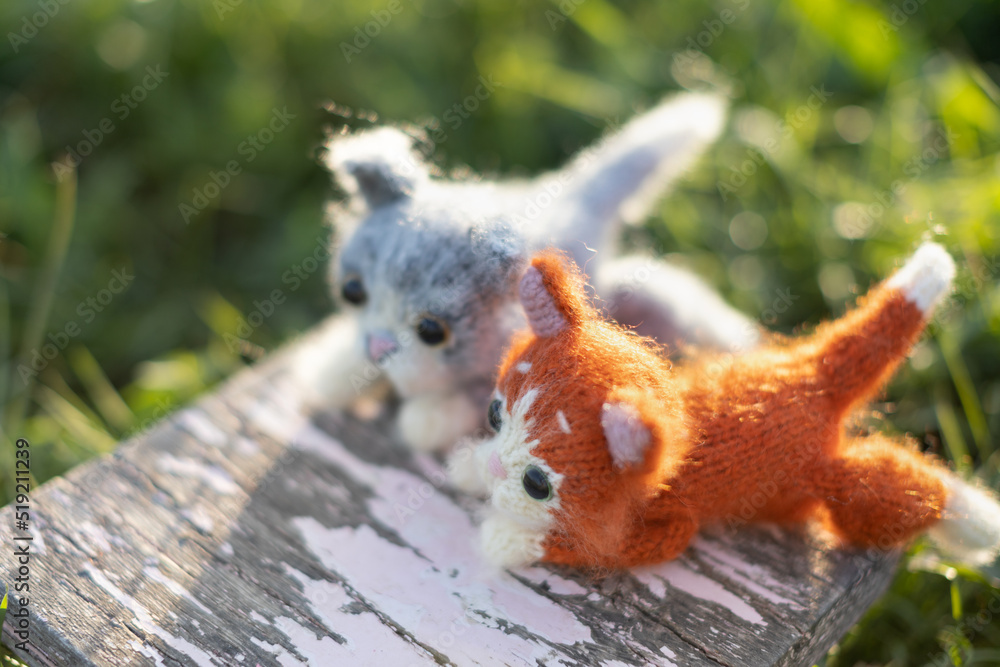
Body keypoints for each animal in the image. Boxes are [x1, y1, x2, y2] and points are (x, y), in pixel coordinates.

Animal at [296, 92, 756, 454]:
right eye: (352, 291)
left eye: (431, 331)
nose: (378, 347)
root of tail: (578, 201)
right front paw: (337, 372)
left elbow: (464, 400)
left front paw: (425, 418)